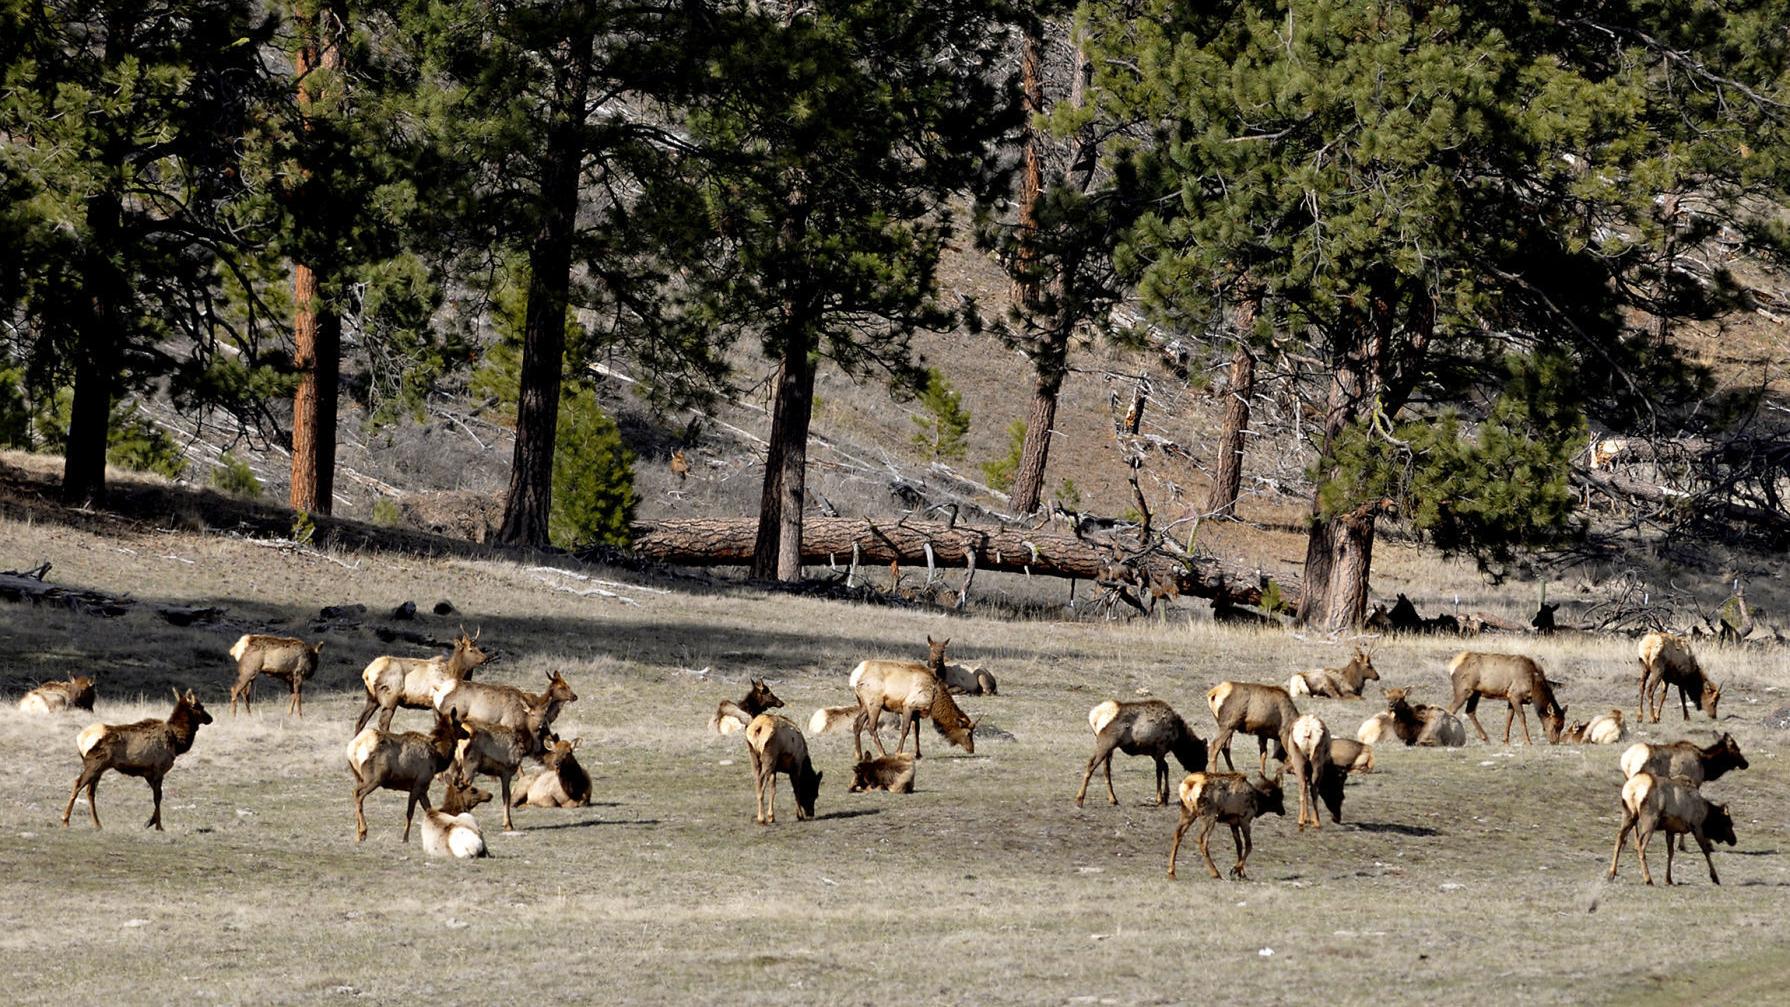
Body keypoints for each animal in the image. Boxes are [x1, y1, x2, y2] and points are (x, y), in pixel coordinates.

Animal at [61, 688, 213, 831]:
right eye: (200, 706)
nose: (210, 718)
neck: (177, 742)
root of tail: (80, 738)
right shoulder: (158, 769)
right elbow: (157, 797)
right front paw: (158, 826)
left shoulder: (148, 773)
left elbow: (159, 795)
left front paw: (149, 822)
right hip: (94, 764)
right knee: (77, 784)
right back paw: (65, 820)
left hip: (99, 768)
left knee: (90, 792)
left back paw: (97, 824)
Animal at [355, 627, 489, 732]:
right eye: (471, 649)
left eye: (479, 647)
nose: (486, 658)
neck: (454, 674)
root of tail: (366, 673)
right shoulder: (436, 703)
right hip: (390, 698)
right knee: (383, 724)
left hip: (372, 698)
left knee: (360, 722)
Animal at [848, 635, 977, 759]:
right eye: (968, 733)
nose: (971, 749)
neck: (934, 699)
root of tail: (855, 676)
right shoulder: (908, 705)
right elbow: (905, 730)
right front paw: (898, 752)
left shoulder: (917, 712)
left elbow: (917, 732)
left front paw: (918, 754)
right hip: (875, 703)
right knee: (871, 727)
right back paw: (883, 753)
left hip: (864, 703)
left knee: (857, 724)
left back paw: (859, 755)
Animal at [1075, 699, 1208, 807]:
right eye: (1203, 757)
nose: (1201, 776)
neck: (1178, 738)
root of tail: (1093, 717)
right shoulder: (1161, 747)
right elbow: (1159, 771)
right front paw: (1159, 799)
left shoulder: (1154, 752)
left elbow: (1165, 768)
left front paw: (1166, 796)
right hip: (1106, 744)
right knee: (1092, 766)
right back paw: (1080, 799)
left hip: (1104, 746)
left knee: (1100, 767)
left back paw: (1113, 799)